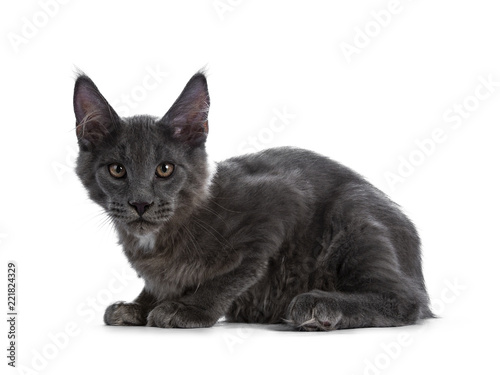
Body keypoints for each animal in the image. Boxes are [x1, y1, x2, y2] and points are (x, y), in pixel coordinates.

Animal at [73, 70, 434, 332]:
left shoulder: (282, 203)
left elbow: (235, 272)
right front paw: (140, 304)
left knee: (406, 299)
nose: (141, 203)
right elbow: (159, 283)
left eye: (165, 169)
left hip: (353, 214)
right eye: (117, 170)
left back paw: (319, 305)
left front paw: (190, 307)